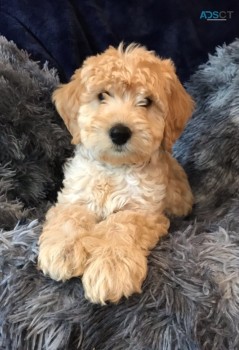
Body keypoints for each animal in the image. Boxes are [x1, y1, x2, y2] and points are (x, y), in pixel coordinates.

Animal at [37, 43, 194, 304]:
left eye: (146, 101)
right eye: (102, 96)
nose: (119, 132)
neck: (114, 168)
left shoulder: (145, 211)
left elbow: (122, 224)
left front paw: (111, 267)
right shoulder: (75, 194)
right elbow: (71, 215)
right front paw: (63, 249)